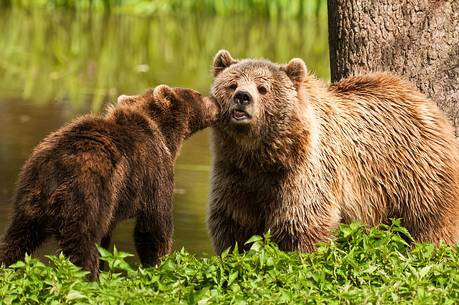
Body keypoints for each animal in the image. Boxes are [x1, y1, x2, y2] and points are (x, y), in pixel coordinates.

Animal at [0, 85, 219, 278]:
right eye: (198, 94)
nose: (216, 102)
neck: (165, 135)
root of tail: (57, 166)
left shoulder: (116, 203)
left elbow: (106, 239)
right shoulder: (155, 173)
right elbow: (154, 225)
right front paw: (158, 265)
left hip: (30, 196)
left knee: (17, 238)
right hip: (86, 194)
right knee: (82, 244)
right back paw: (87, 279)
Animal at [208, 50, 459, 253]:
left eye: (263, 89)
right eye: (232, 84)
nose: (242, 97)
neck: (264, 154)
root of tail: (424, 102)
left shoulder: (305, 171)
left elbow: (303, 221)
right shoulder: (235, 171)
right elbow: (233, 221)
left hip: (417, 168)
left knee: (431, 217)